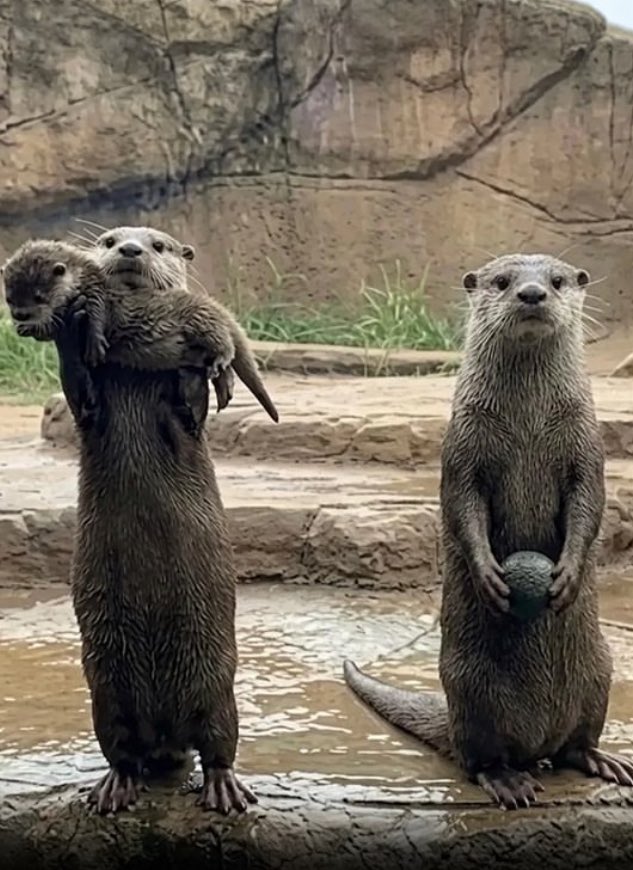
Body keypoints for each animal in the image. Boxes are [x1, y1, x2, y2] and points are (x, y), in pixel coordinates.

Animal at [2, 231, 278, 423]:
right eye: (10, 298)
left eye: (39, 296)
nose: (20, 314)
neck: (83, 277)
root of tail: (211, 303)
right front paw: (28, 328)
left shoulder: (98, 292)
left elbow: (97, 316)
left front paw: (95, 343)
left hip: (201, 319)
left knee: (223, 340)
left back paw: (221, 359)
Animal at [345, 253, 633, 810]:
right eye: (501, 281)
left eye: (557, 280)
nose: (531, 293)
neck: (530, 426)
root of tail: (537, 744)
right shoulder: (463, 446)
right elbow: (463, 505)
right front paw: (489, 577)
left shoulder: (586, 443)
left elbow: (590, 503)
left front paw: (567, 574)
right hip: (470, 690)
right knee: (478, 757)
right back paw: (508, 780)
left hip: (601, 670)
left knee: (576, 742)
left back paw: (601, 760)